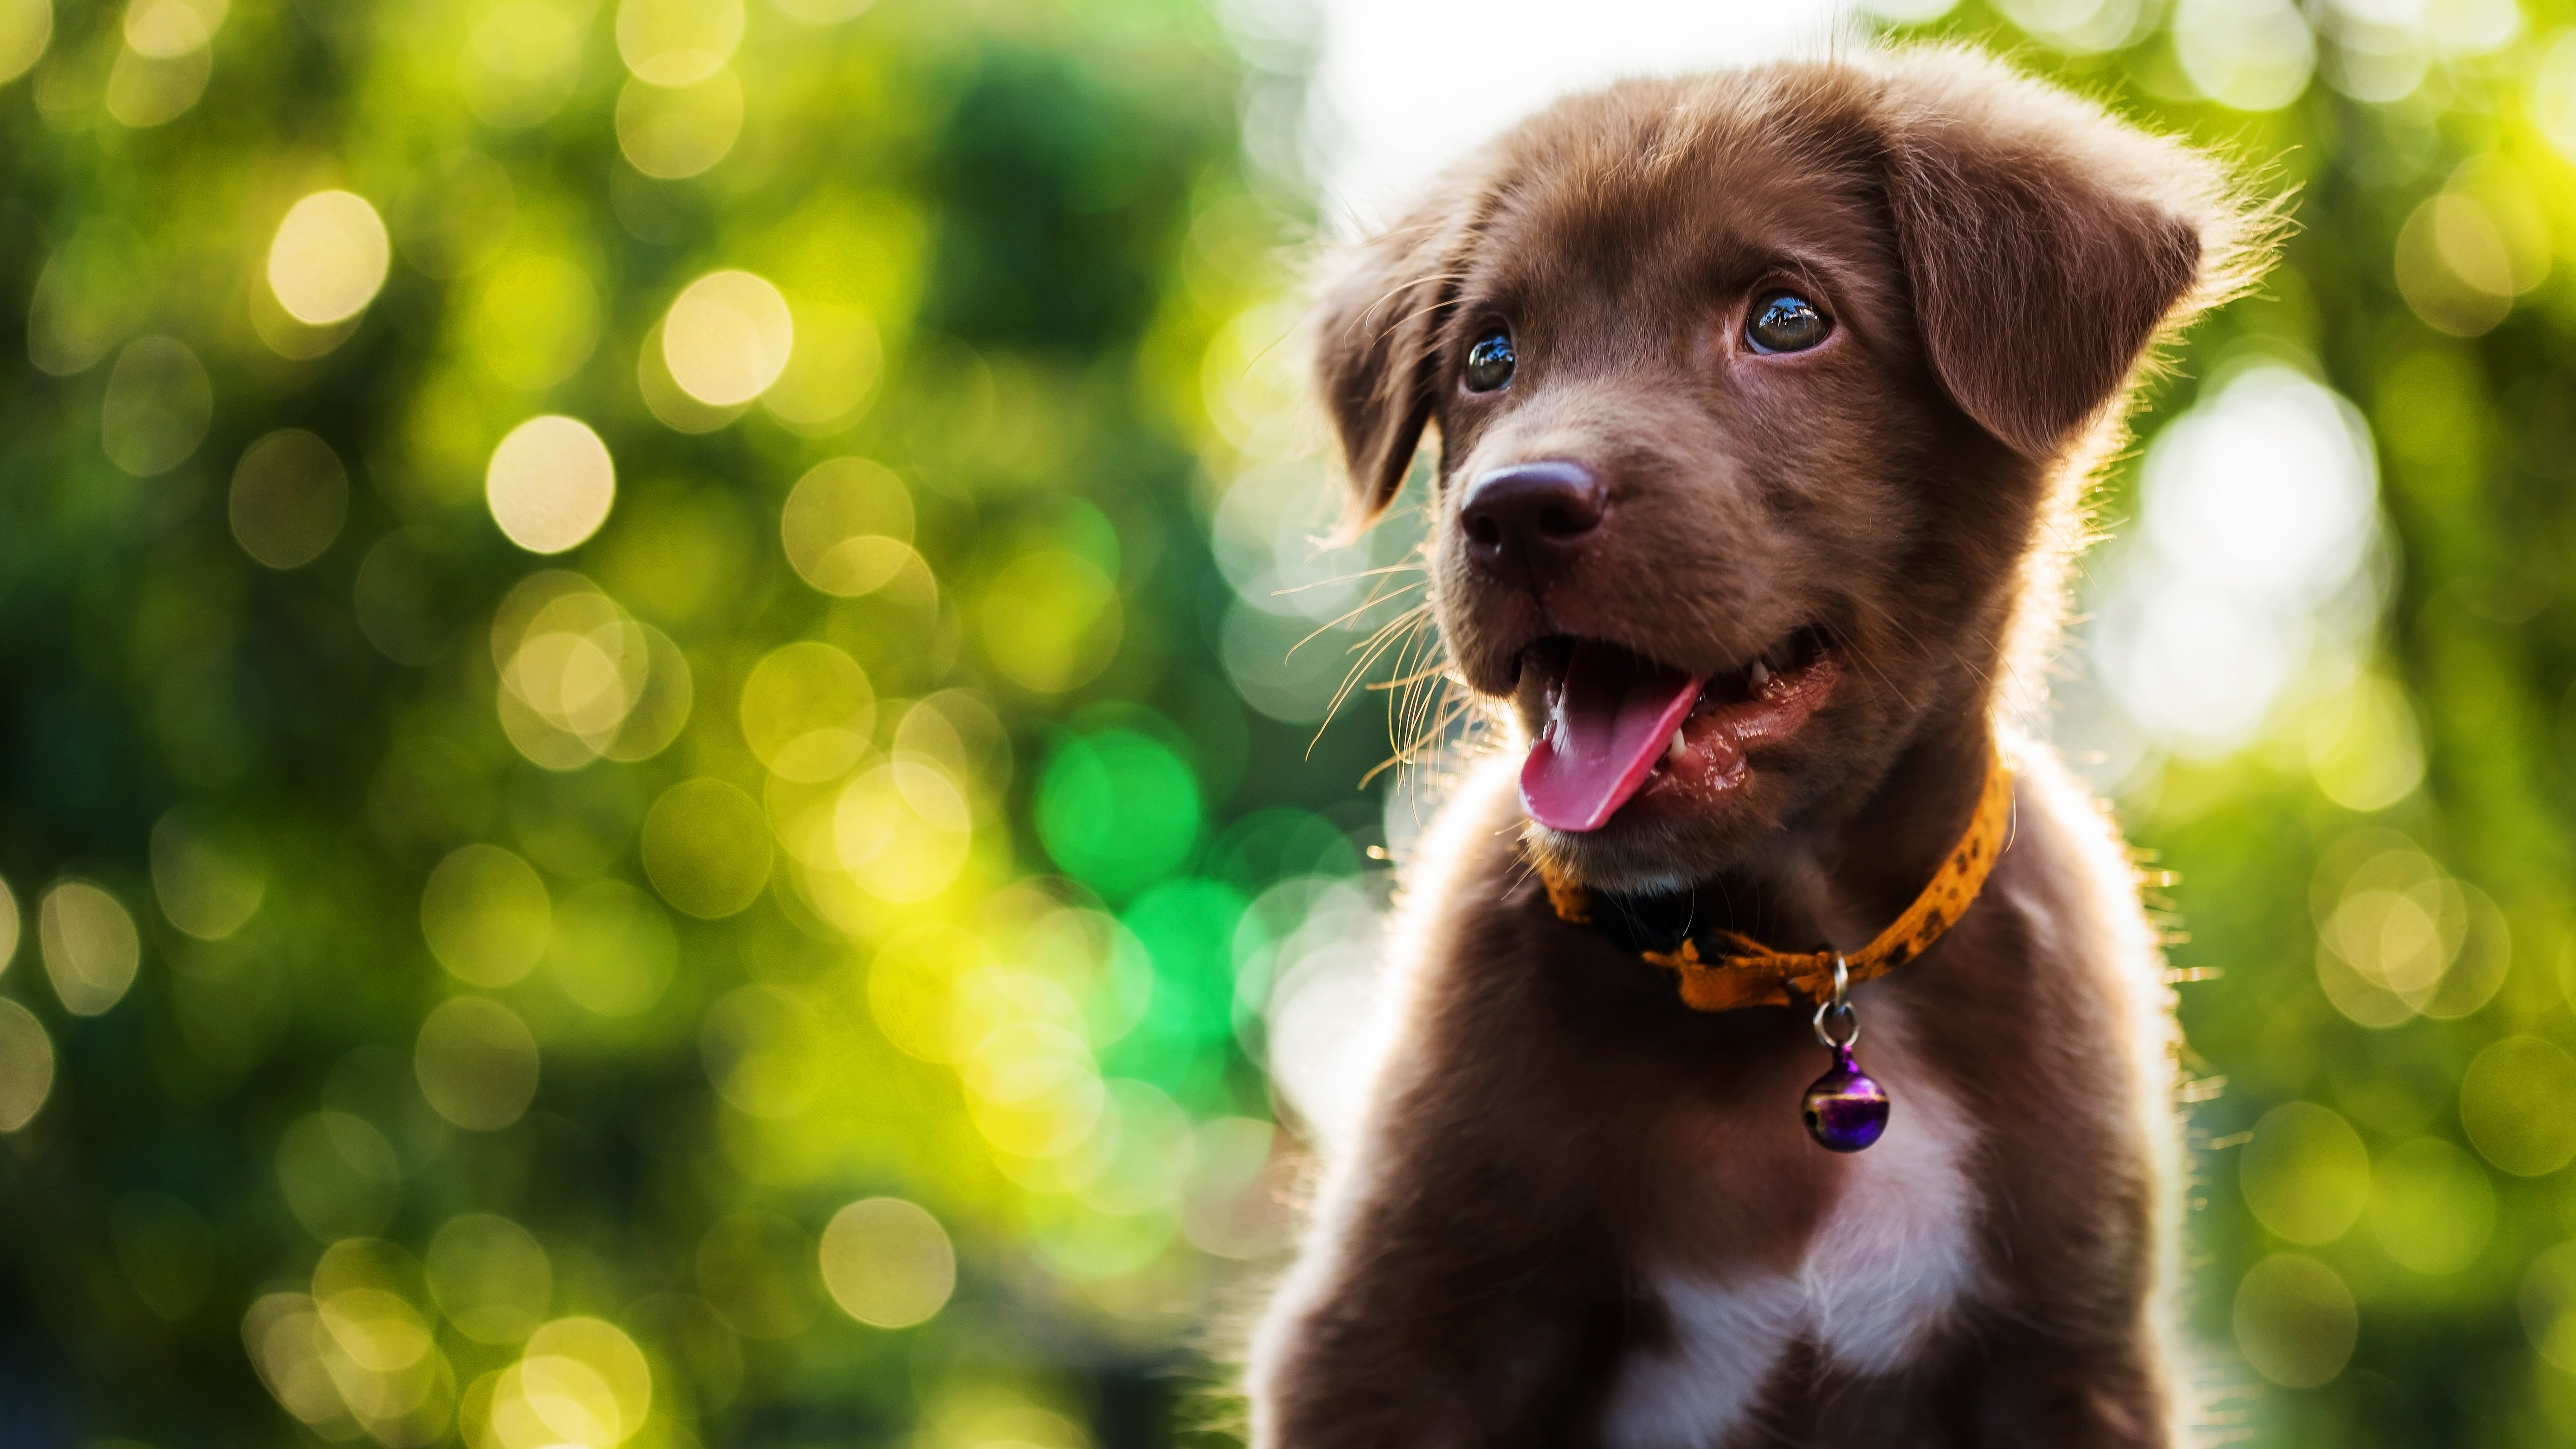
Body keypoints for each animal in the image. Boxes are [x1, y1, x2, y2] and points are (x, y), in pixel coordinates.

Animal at [1246, 48, 2277, 1444]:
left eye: (1785, 319)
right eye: (1486, 356)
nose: (1510, 512)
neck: (1797, 971)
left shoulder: (2068, 1361)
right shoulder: (1389, 1343)